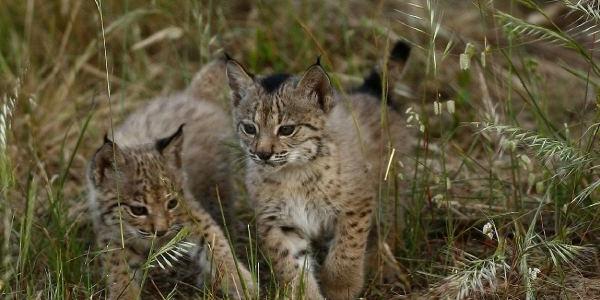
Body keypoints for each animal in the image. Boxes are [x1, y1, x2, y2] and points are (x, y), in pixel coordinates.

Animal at [86, 60, 253, 298]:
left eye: (172, 203)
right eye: (138, 210)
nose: (162, 231)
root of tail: (190, 96)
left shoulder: (192, 214)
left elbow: (217, 244)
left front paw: (240, 282)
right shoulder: (112, 236)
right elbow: (119, 272)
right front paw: (124, 294)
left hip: (216, 188)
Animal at [226, 42, 412, 300]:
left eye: (287, 129)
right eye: (249, 128)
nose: (262, 154)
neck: (293, 171)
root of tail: (370, 92)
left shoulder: (357, 203)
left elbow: (348, 248)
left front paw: (341, 286)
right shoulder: (278, 221)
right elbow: (290, 265)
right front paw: (305, 294)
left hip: (389, 190)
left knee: (385, 230)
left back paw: (384, 267)